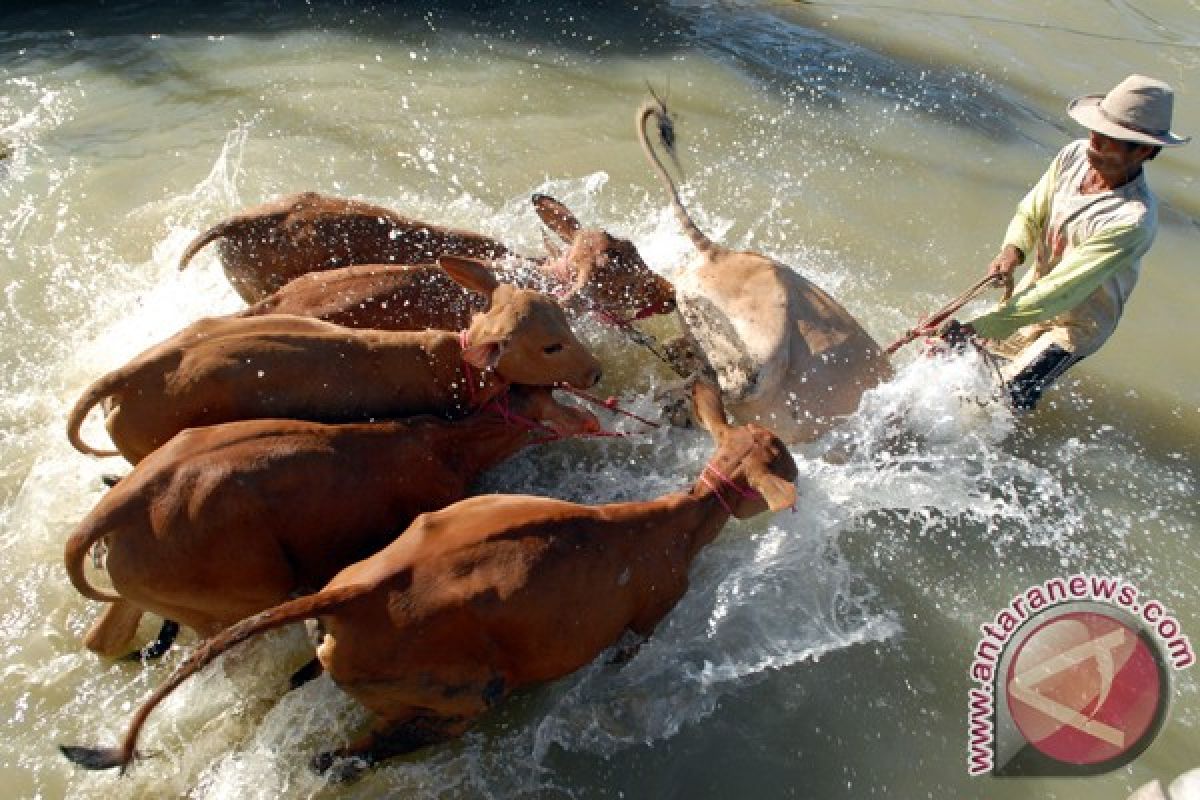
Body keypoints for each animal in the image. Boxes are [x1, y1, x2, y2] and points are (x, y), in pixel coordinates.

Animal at [63, 386, 597, 657]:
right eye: (558, 401)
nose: (594, 419)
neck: (442, 444)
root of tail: (127, 500)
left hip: (140, 578)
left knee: (105, 637)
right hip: (233, 598)